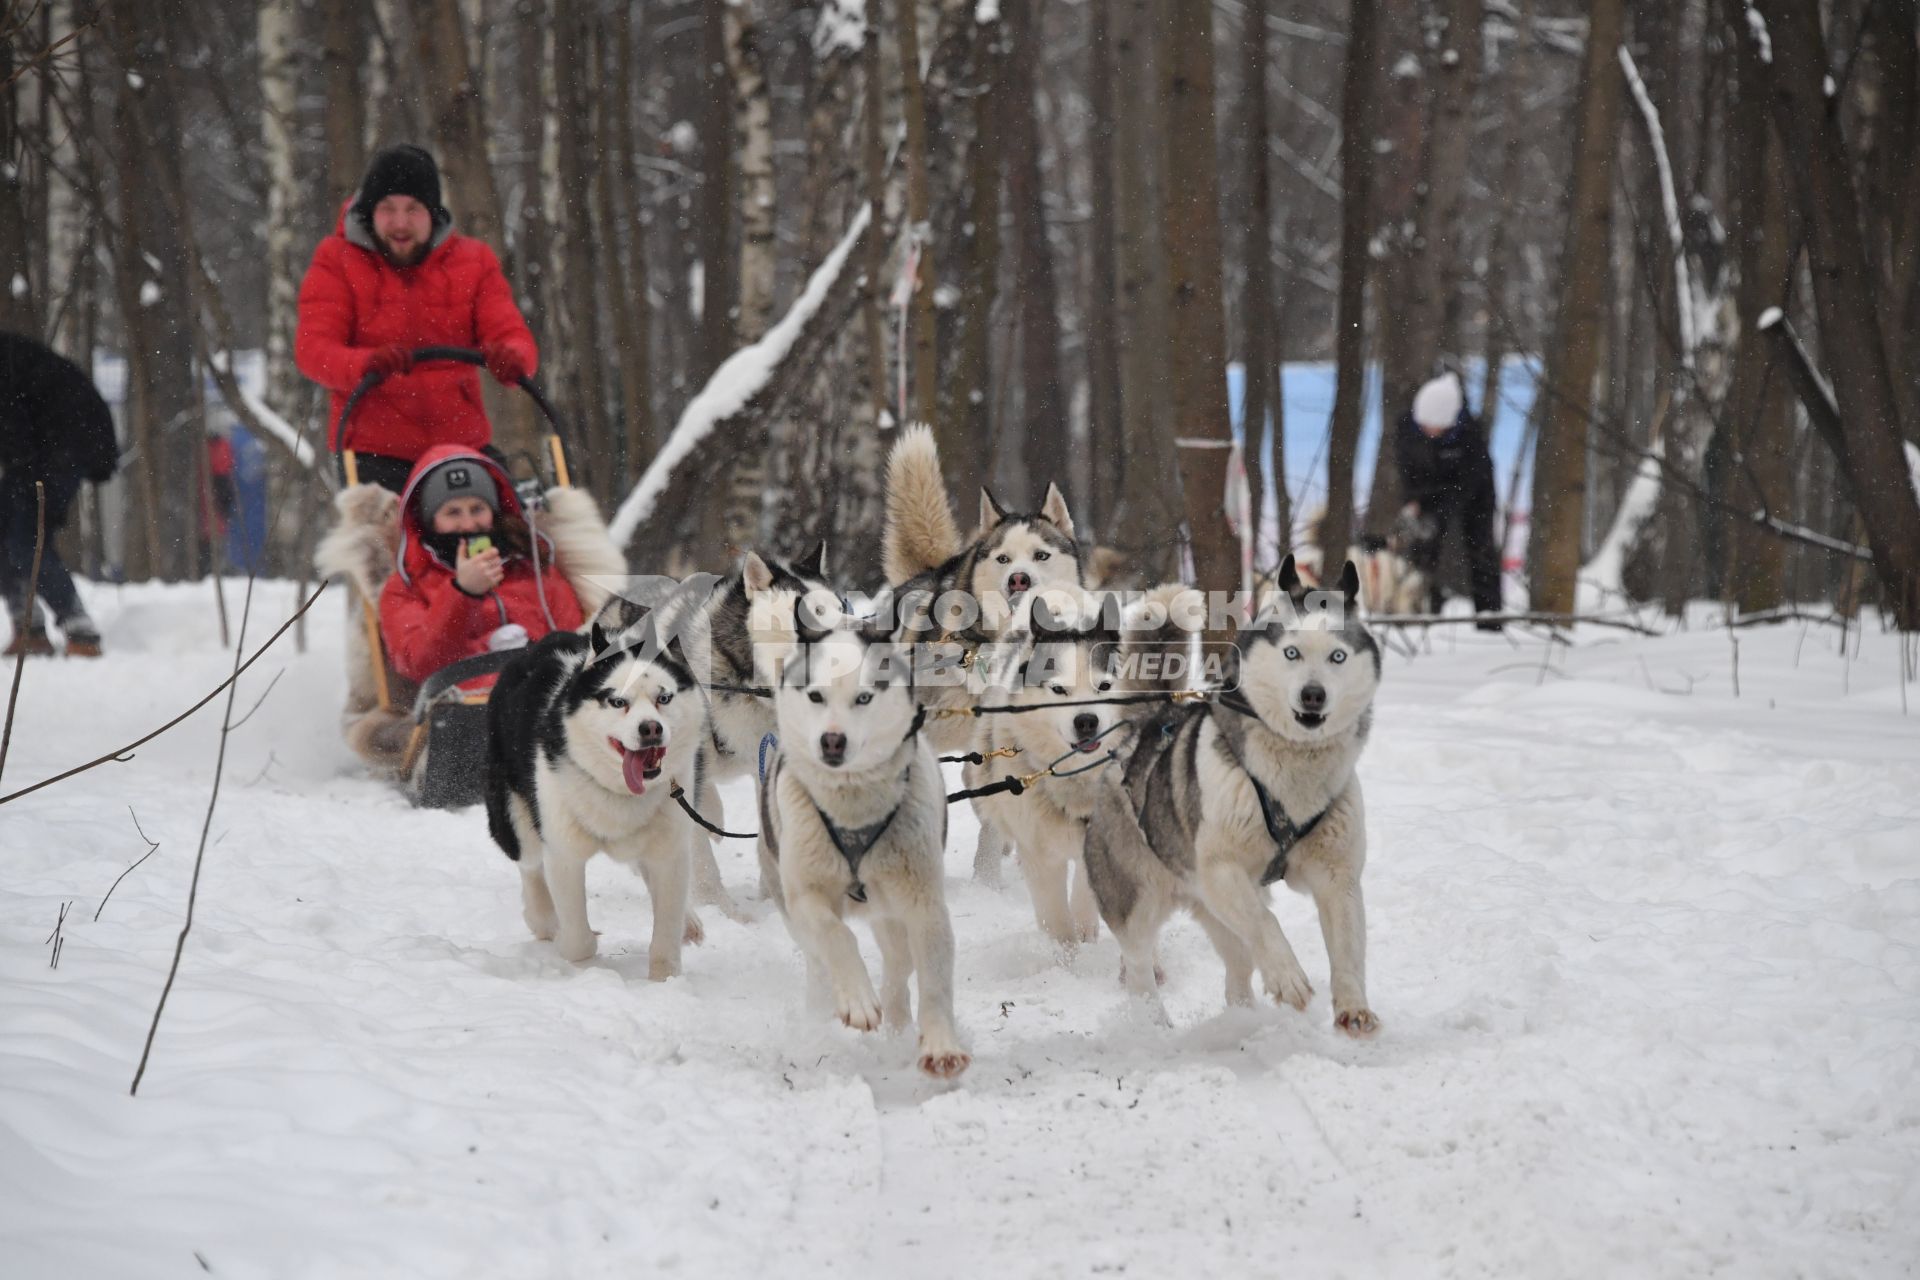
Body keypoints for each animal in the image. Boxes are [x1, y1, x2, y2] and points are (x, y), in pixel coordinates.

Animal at [487, 594, 714, 974]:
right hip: (513, 816)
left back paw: (689, 921)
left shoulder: (670, 848)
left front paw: (665, 977)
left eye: (664, 698)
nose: (651, 728)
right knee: (529, 863)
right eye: (618, 701)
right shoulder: (563, 851)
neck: (620, 791)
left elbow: (666, 927)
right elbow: (577, 939)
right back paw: (543, 919)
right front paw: (580, 959)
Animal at [752, 614, 967, 1074]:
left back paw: (898, 1019)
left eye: (864, 698)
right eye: (816, 696)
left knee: (899, 964)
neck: (852, 808)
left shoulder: (923, 902)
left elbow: (935, 978)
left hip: (891, 908)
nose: (832, 740)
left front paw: (941, 1044)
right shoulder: (807, 895)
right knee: (818, 960)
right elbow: (837, 936)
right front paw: (857, 1000)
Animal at [1082, 556, 1382, 1036]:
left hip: (1213, 909)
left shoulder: (1338, 876)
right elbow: (1265, 921)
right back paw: (1154, 1025)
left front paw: (1353, 1006)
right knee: (1141, 963)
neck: (1291, 777)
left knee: (1239, 965)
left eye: (1337, 656)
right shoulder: (1222, 869)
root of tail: (1147, 723)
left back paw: (1241, 1020)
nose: (1313, 695)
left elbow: (1347, 946)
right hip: (1136, 902)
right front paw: (1288, 976)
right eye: (1291, 653)